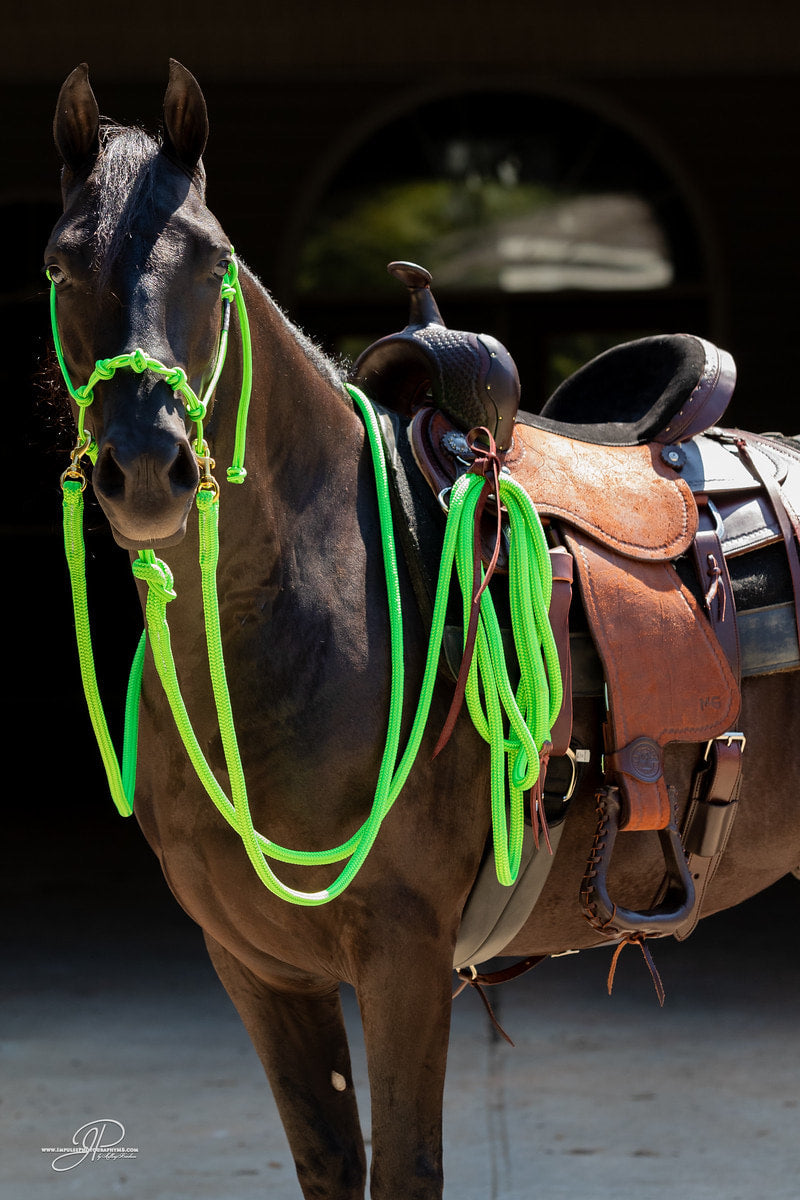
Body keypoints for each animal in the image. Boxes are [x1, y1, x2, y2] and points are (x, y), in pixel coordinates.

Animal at [47, 63, 800, 1200]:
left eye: (212, 260)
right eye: (59, 263)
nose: (146, 464)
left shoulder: (402, 957)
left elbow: (405, 1169)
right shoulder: (257, 969)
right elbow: (328, 1162)